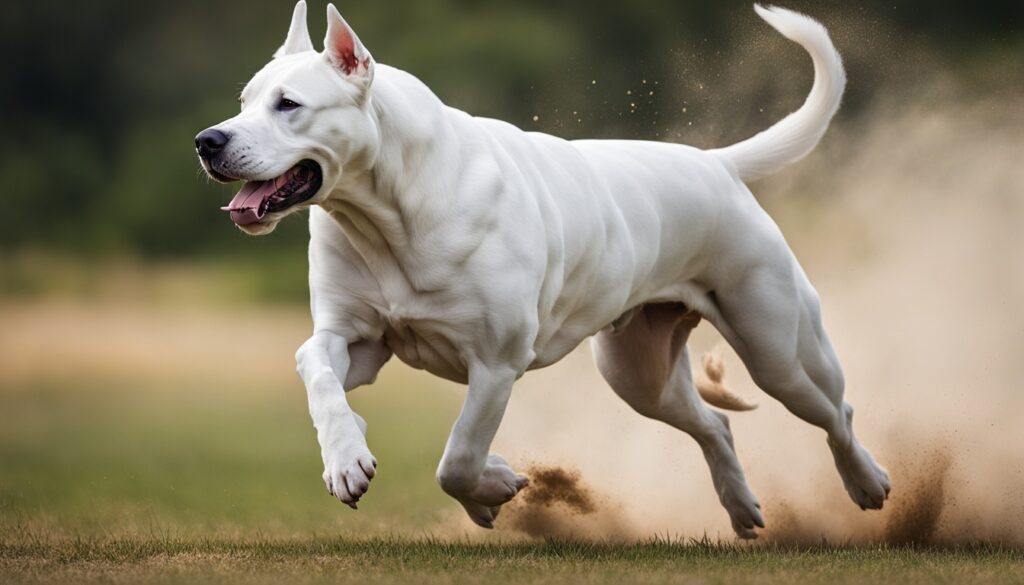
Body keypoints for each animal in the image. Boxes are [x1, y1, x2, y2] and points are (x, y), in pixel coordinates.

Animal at [197, 1, 888, 540]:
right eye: (244, 101)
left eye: (289, 104)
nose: (208, 140)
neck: (386, 213)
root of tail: (714, 163)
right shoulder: (354, 340)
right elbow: (316, 370)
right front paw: (349, 455)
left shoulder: (495, 364)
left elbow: (458, 457)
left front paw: (491, 487)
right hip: (637, 373)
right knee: (715, 424)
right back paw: (742, 508)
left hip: (778, 347)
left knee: (837, 411)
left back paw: (868, 482)